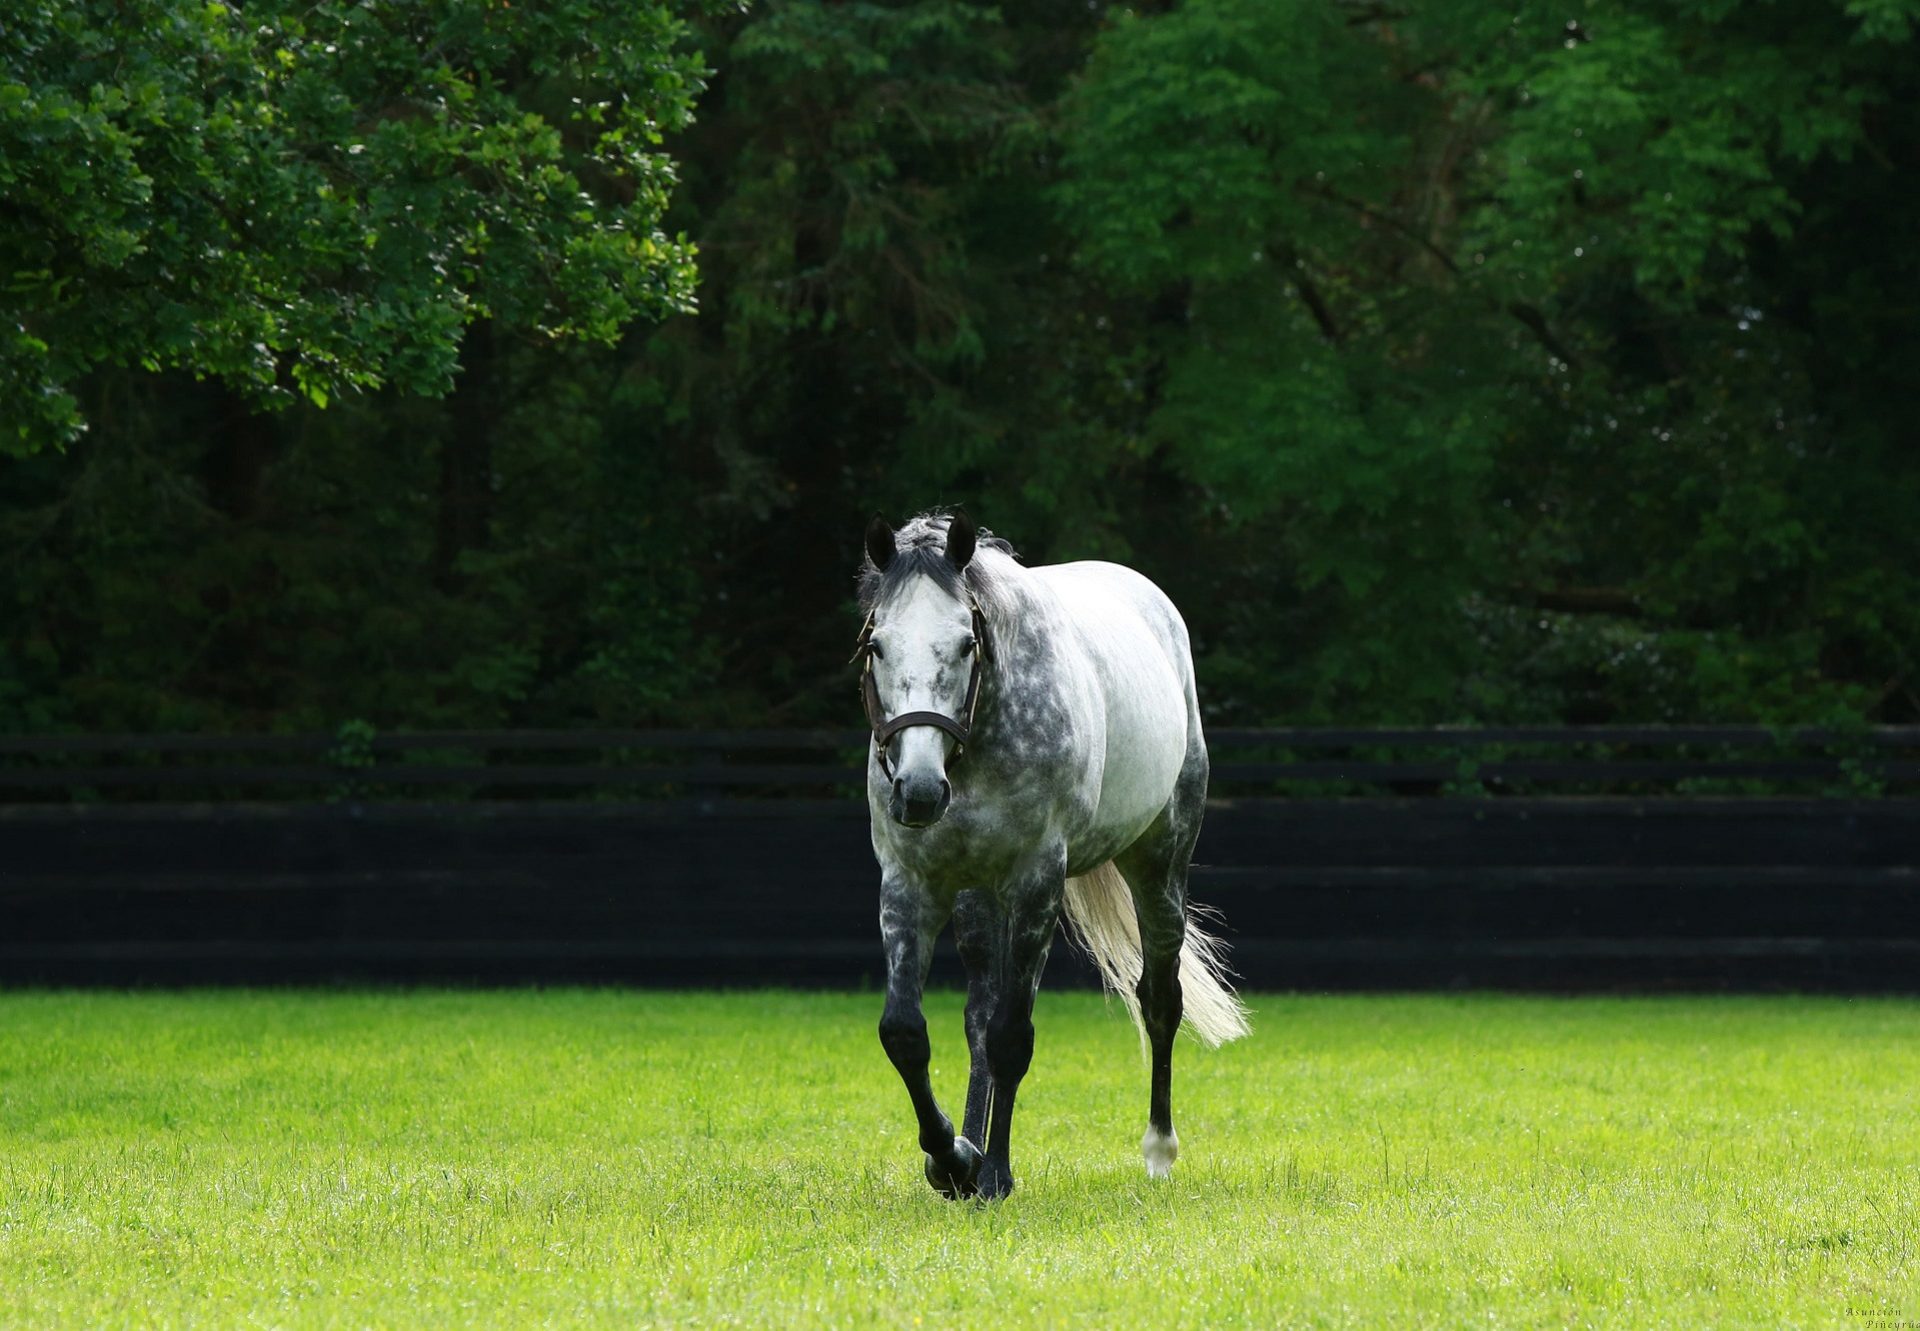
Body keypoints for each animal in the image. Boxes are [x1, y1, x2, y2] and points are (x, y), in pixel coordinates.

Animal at [852, 507, 1244, 1190]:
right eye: (877, 645)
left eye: (967, 643)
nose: (920, 791)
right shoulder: (908, 885)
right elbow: (907, 1031)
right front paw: (952, 1158)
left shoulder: (1037, 883)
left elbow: (1012, 1035)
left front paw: (994, 1175)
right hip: (978, 896)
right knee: (978, 1014)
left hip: (1159, 865)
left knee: (1159, 998)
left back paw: (1159, 1151)